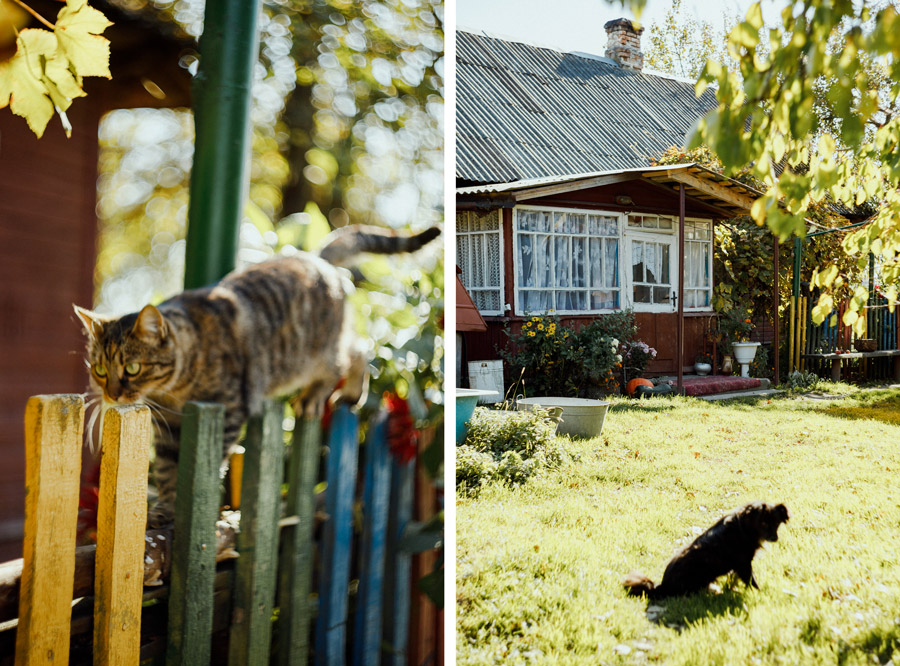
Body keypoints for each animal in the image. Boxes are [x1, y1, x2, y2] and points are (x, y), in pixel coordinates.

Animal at [75, 223, 442, 524]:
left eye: (132, 368)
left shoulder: (228, 408)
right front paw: (165, 507)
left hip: (317, 354)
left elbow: (198, 467)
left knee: (353, 353)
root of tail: (315, 257)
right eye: (100, 370)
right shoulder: (167, 431)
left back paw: (326, 395)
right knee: (358, 348)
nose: (112, 394)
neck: (174, 392)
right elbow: (166, 471)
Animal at [624, 500, 788, 600]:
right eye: (764, 523)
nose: (774, 538)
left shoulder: (740, 566)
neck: (743, 528)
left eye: (776, 524)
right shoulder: (743, 564)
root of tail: (663, 587)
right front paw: (759, 593)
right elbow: (751, 581)